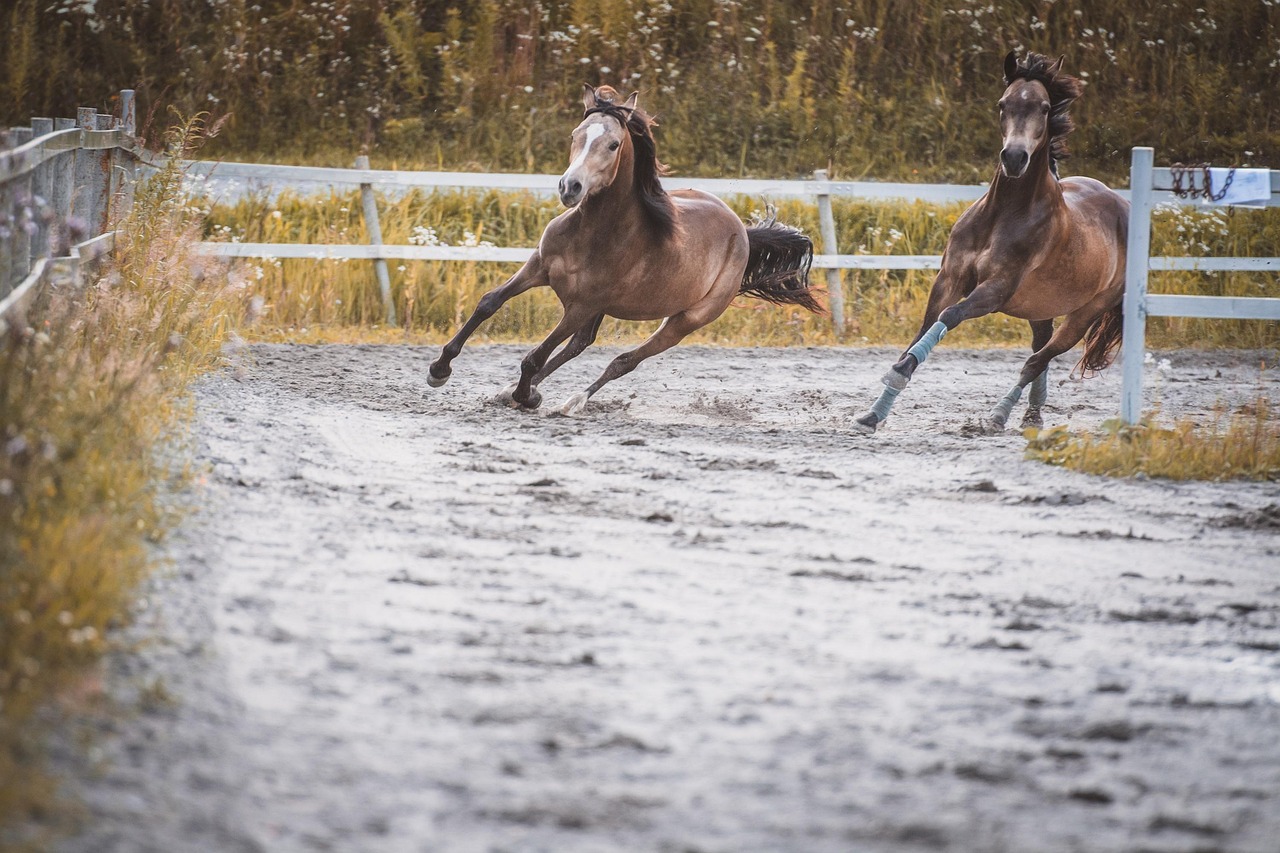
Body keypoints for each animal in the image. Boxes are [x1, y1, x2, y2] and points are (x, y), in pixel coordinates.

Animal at [427, 84, 820, 414]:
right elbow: (489, 303)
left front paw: (526, 396)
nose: (570, 187)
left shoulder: (582, 305)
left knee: (624, 361)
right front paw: (439, 369)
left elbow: (535, 355)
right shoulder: (538, 267)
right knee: (580, 344)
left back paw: (570, 401)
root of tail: (742, 233)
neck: (592, 233)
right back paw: (516, 391)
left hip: (686, 321)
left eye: (614, 145)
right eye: (576, 135)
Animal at [856, 52, 1128, 434]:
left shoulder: (996, 289)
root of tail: (1124, 206)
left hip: (1085, 314)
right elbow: (926, 326)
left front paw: (896, 376)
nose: (1014, 158)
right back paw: (1032, 415)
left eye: (1045, 107)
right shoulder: (950, 278)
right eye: (1003, 104)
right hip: (1039, 308)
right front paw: (875, 410)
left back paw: (999, 416)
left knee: (1036, 360)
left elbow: (951, 315)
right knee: (1039, 352)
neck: (1004, 213)